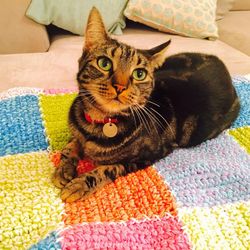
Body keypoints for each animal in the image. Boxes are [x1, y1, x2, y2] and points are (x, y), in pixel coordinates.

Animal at [51, 8, 239, 203]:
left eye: (139, 74)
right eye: (104, 63)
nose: (120, 87)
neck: (97, 123)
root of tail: (220, 62)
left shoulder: (145, 158)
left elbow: (107, 168)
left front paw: (79, 184)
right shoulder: (77, 133)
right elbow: (70, 146)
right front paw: (64, 169)